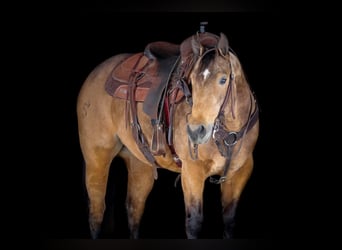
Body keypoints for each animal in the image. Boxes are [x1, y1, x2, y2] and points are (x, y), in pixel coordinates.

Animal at [77, 28, 260, 239]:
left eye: (223, 80)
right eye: (192, 81)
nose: (196, 131)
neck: (228, 133)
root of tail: (94, 74)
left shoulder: (239, 174)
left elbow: (229, 222)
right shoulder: (192, 172)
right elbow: (194, 223)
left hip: (139, 163)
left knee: (134, 209)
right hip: (96, 159)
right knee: (97, 211)